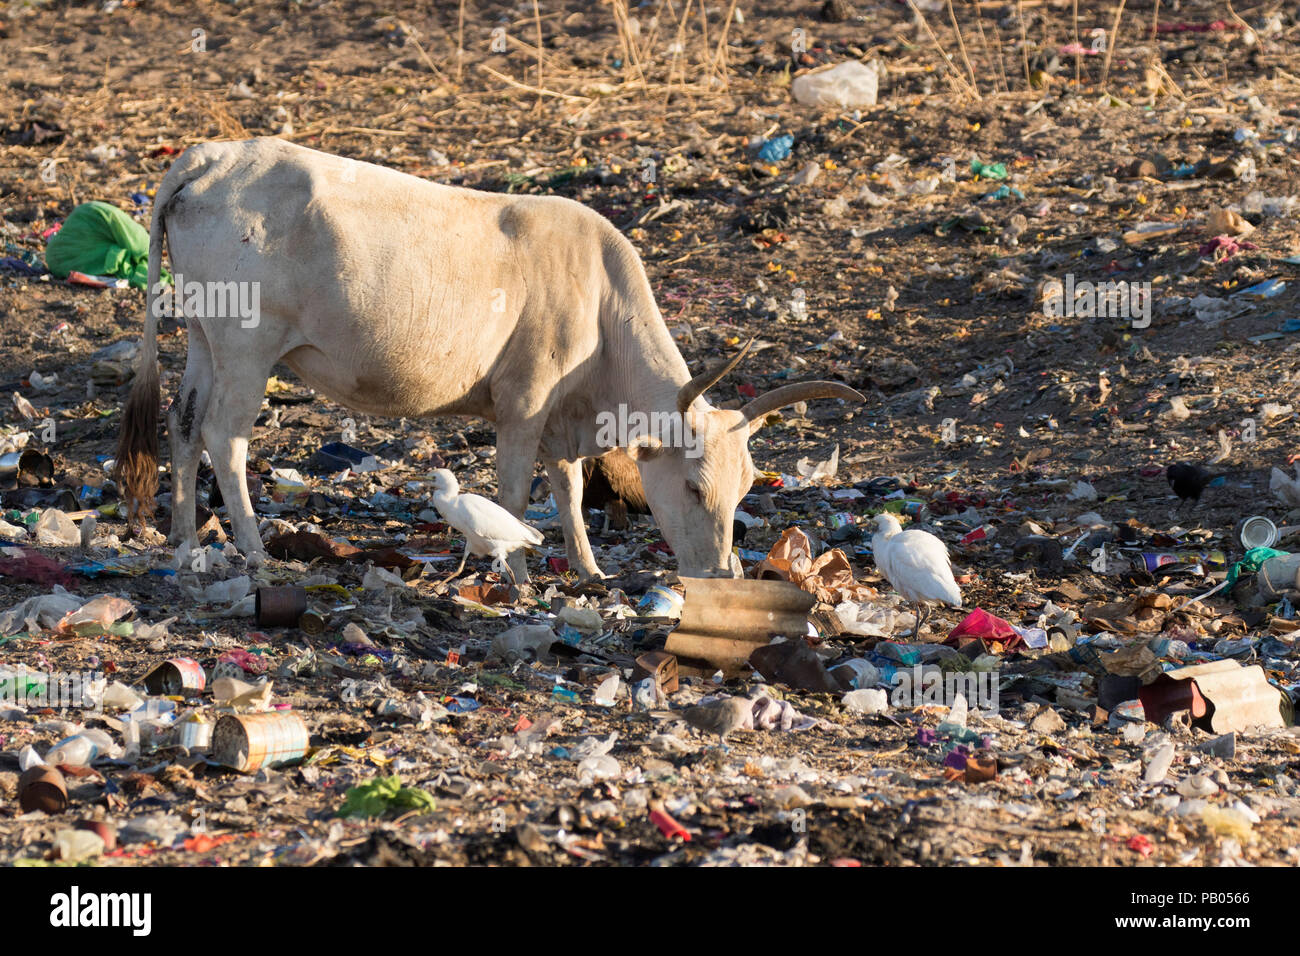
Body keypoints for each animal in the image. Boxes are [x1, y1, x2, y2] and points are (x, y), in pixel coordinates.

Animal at [114, 137, 863, 580]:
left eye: (744, 488)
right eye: (694, 488)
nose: (722, 574)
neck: (600, 301)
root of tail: (209, 158)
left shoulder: (561, 421)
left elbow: (568, 489)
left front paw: (588, 570)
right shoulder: (523, 405)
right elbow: (514, 495)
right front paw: (520, 573)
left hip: (204, 339)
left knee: (183, 423)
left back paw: (183, 539)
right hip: (248, 345)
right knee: (224, 435)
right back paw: (255, 551)